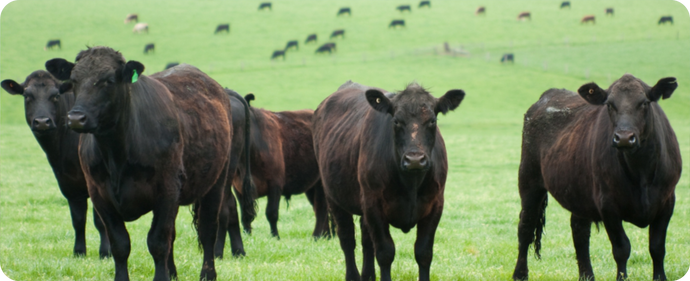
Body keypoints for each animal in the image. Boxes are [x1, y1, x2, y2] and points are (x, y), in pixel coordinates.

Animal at [1, 70, 110, 258]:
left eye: (56, 96)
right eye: (27, 96)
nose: (42, 122)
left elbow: (100, 220)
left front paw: (105, 253)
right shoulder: (68, 183)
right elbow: (78, 219)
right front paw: (79, 252)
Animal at [45, 46, 255, 280]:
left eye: (109, 80)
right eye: (74, 80)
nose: (75, 118)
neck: (116, 154)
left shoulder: (166, 190)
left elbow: (158, 242)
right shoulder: (100, 195)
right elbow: (120, 244)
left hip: (217, 182)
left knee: (209, 229)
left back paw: (207, 274)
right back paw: (173, 273)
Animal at [223, 92, 330, 238]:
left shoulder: (275, 183)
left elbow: (271, 213)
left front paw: (275, 237)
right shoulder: (238, 187)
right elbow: (245, 215)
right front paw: (247, 236)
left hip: (321, 183)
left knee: (321, 208)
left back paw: (317, 236)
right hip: (311, 185)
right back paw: (326, 236)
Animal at [310, 81, 462, 280]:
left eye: (432, 121)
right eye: (396, 121)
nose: (414, 159)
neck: (410, 184)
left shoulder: (435, 204)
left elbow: (423, 252)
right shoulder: (374, 205)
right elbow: (384, 252)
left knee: (366, 240)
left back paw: (368, 275)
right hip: (334, 197)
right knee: (347, 239)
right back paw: (353, 275)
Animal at [508, 74, 680, 280]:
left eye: (645, 103)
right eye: (609, 105)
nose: (624, 137)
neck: (641, 173)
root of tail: (548, 94)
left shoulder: (667, 201)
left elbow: (657, 247)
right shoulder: (608, 205)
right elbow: (621, 248)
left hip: (578, 190)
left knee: (579, 231)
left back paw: (587, 275)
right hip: (529, 180)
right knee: (525, 227)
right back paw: (520, 274)